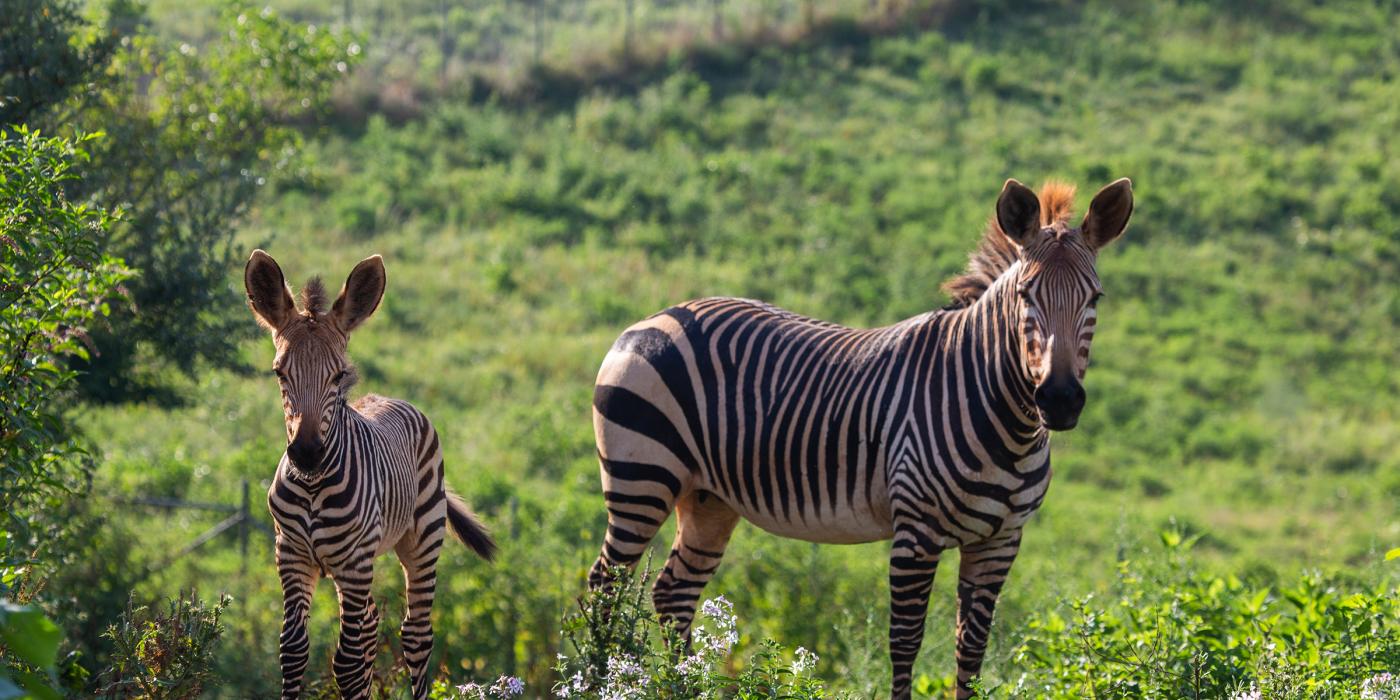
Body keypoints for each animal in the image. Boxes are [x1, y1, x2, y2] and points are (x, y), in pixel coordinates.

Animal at [246, 252, 498, 700]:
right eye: (279, 373)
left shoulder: (354, 560)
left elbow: (345, 663)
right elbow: (293, 651)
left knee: (415, 634)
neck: (313, 486)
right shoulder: (291, 554)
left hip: (420, 541)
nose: (307, 454)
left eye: (338, 375)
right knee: (369, 628)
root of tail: (392, 399)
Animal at [585, 177, 1131, 697]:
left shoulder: (1001, 540)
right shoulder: (916, 530)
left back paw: (683, 686)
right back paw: (599, 684)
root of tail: (657, 315)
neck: (1005, 424)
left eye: (1095, 297)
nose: (1059, 399)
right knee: (604, 587)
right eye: (1025, 296)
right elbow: (905, 642)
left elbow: (972, 650)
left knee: (672, 592)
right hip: (641, 479)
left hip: (708, 498)